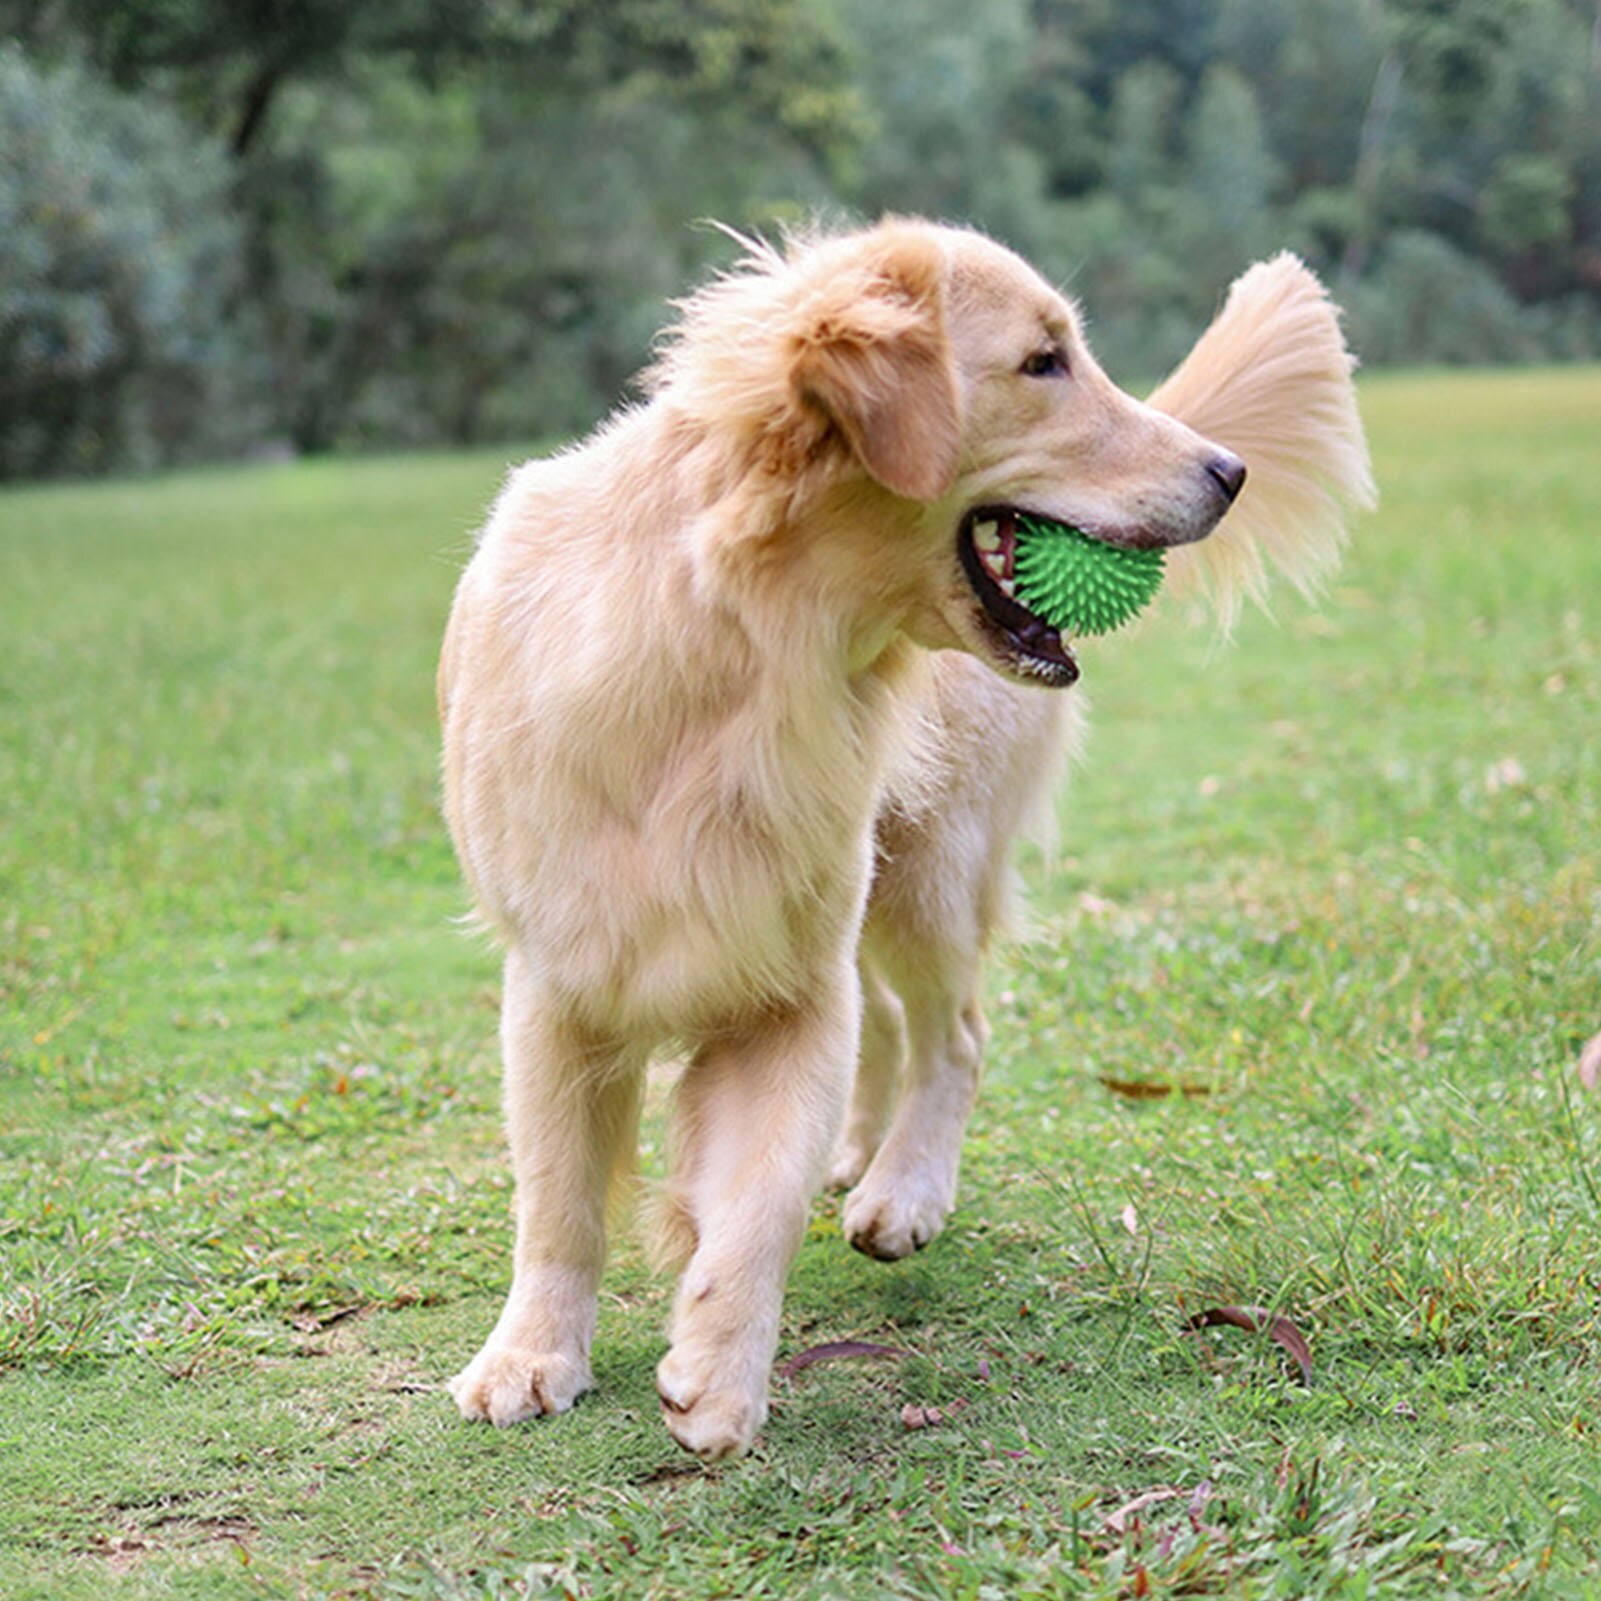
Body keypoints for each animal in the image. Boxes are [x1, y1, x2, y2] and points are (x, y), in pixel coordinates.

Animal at [441, 219, 1376, 1460]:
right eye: (1042, 362)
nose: (1229, 471)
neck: (740, 658)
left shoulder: (786, 991)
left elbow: (760, 1196)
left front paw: (719, 1370)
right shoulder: (560, 987)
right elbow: (555, 1200)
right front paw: (533, 1352)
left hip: (925, 868)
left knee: (952, 1032)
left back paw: (902, 1189)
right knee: (890, 1022)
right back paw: (862, 1153)